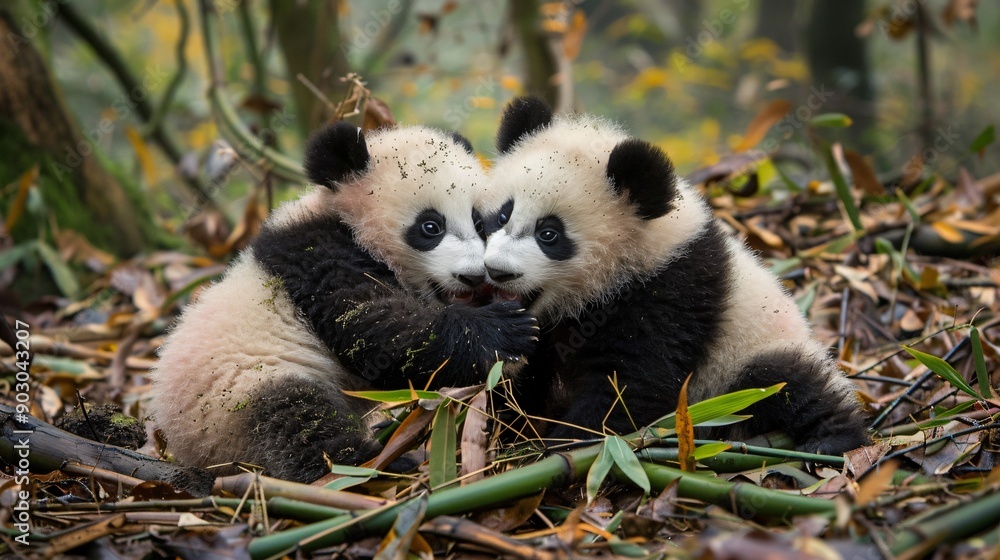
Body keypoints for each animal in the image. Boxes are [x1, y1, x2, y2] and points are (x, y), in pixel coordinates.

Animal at [148, 122, 538, 482]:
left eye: (480, 222)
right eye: (430, 227)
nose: (472, 276)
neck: (345, 218)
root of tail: (188, 450)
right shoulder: (316, 256)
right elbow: (376, 328)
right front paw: (504, 329)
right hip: (237, 395)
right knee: (297, 423)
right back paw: (373, 464)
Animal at [480, 96, 868, 455]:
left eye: (549, 234)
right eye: (502, 215)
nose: (497, 271)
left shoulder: (670, 290)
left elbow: (634, 385)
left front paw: (560, 443)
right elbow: (518, 375)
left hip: (749, 354)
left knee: (787, 383)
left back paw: (832, 439)